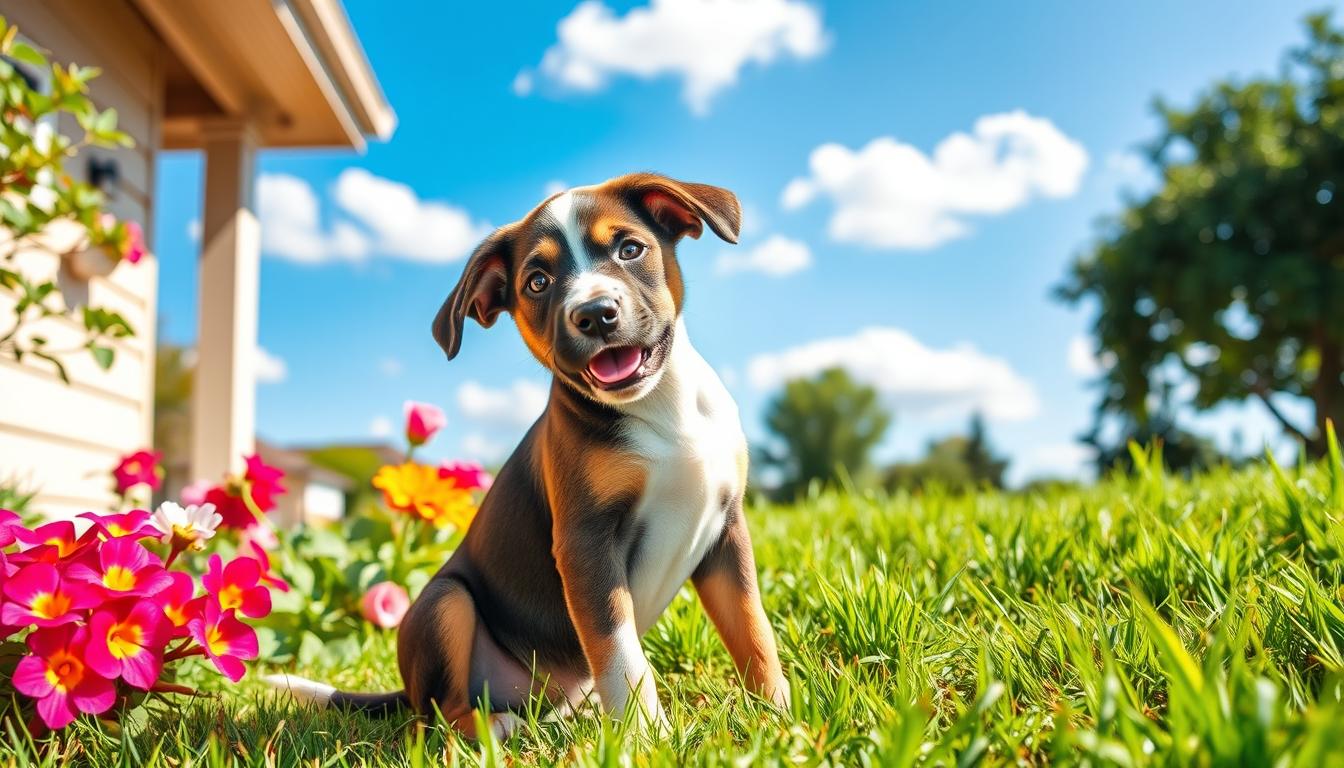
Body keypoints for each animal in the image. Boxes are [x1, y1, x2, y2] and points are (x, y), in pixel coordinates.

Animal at [270, 174, 784, 737]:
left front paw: (779, 713)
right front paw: (645, 735)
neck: (662, 409)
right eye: (538, 282)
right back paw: (496, 725)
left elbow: (752, 628)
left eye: (629, 249)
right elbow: (620, 650)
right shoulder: (586, 541)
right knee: (440, 715)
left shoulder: (726, 528)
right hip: (445, 601)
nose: (595, 314)